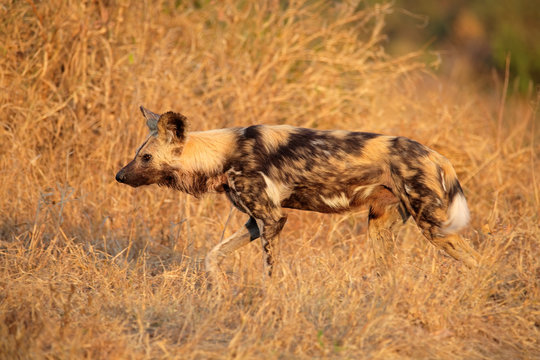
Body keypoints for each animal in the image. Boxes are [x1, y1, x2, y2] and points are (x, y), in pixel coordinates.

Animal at [116, 107, 478, 278]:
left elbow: (271, 270)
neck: (224, 152)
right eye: (137, 154)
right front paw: (219, 289)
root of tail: (436, 155)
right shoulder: (255, 222)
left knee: (479, 261)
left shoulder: (273, 219)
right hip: (380, 228)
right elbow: (213, 256)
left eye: (146, 158)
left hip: (434, 227)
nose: (119, 176)